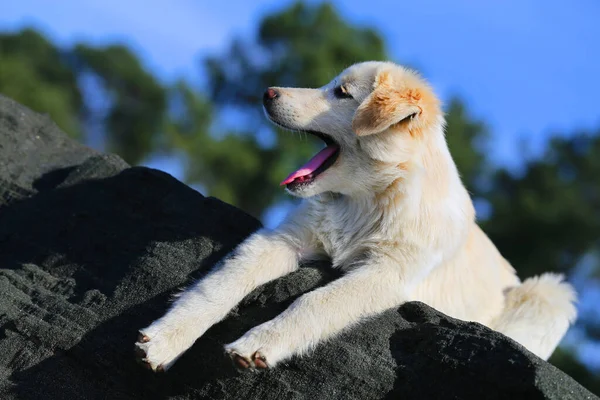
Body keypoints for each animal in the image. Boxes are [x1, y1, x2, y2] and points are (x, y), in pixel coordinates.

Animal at [136, 61, 576, 370]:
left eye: (341, 92)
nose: (267, 92)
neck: (367, 200)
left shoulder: (384, 275)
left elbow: (314, 302)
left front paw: (258, 344)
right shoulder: (283, 239)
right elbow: (219, 285)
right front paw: (165, 339)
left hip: (552, 294)